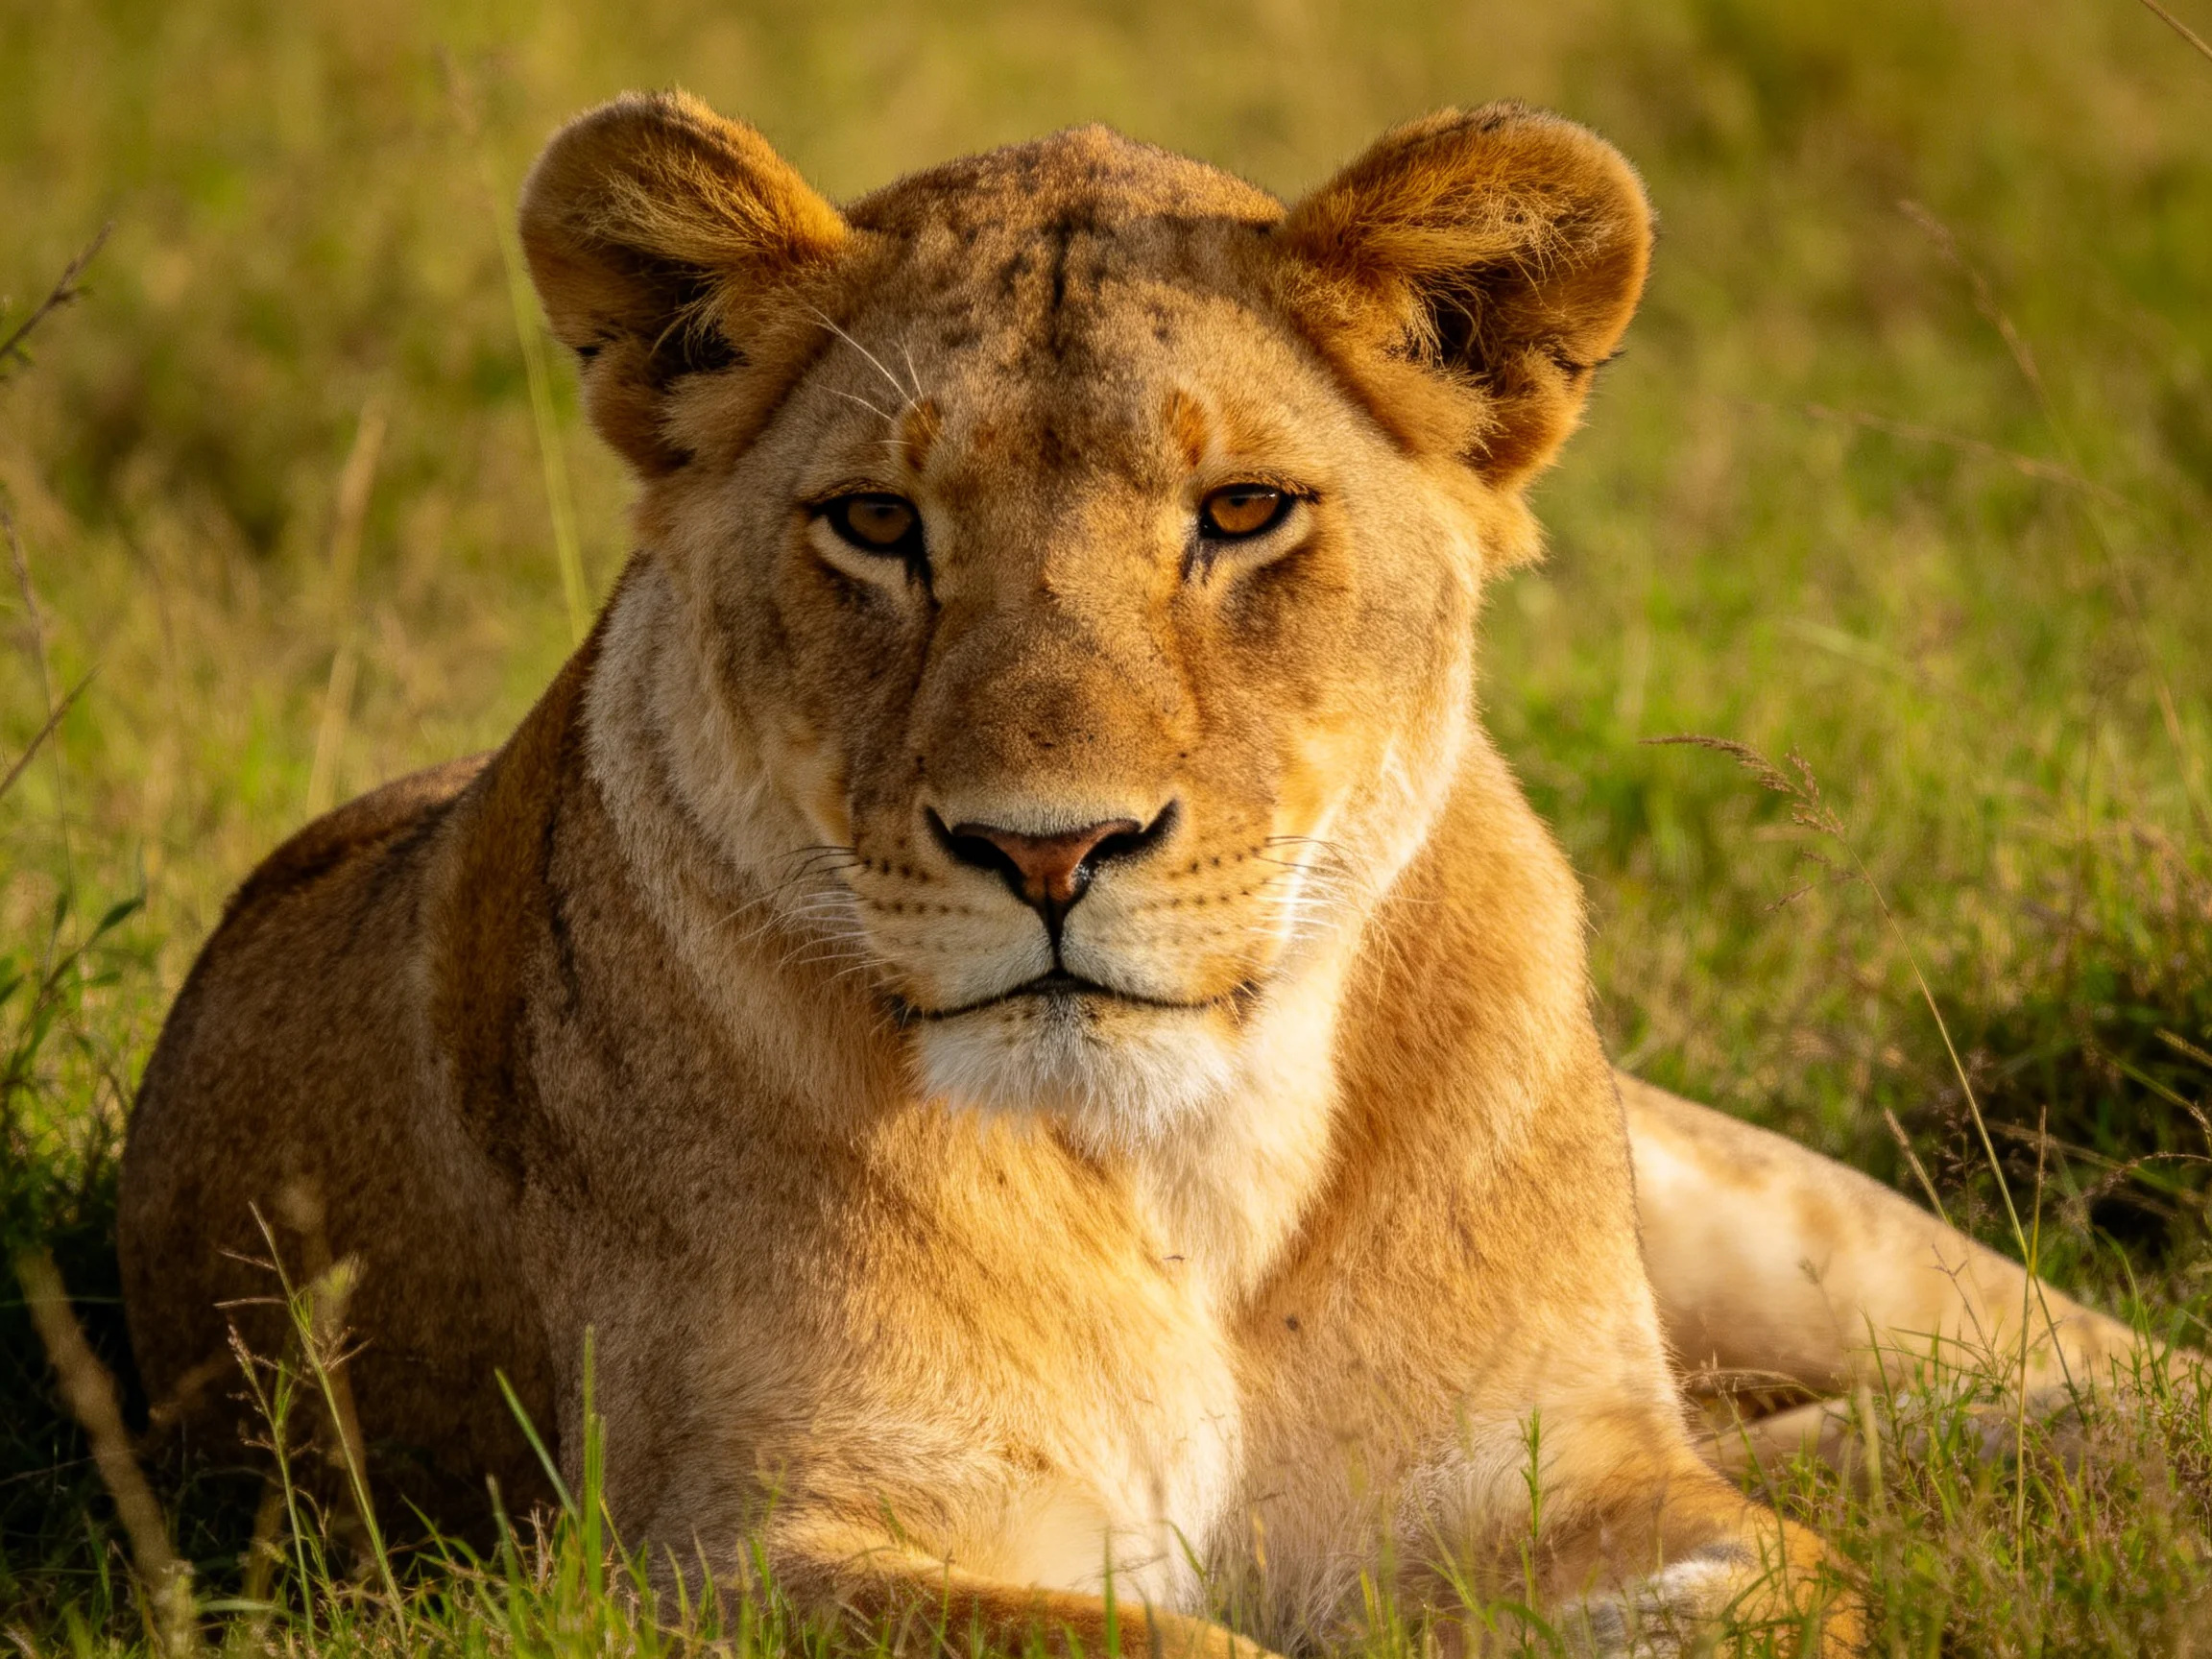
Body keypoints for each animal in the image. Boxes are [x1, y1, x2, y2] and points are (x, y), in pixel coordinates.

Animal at [118, 93, 2146, 1655]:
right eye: (875, 522)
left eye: (1240, 512)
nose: (1046, 845)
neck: (1193, 1163)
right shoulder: (734, 1547)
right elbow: (1173, 1641)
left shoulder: (1571, 1472)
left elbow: (1783, 1577)